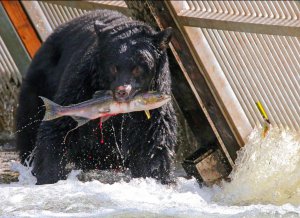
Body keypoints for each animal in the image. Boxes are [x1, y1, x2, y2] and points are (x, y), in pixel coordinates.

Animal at [16, 9, 177, 185]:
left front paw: (156, 178)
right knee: (30, 123)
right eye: (114, 66)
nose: (122, 91)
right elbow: (57, 129)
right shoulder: (84, 84)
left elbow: (152, 142)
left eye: (138, 67)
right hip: (42, 81)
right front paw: (50, 177)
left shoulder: (153, 106)